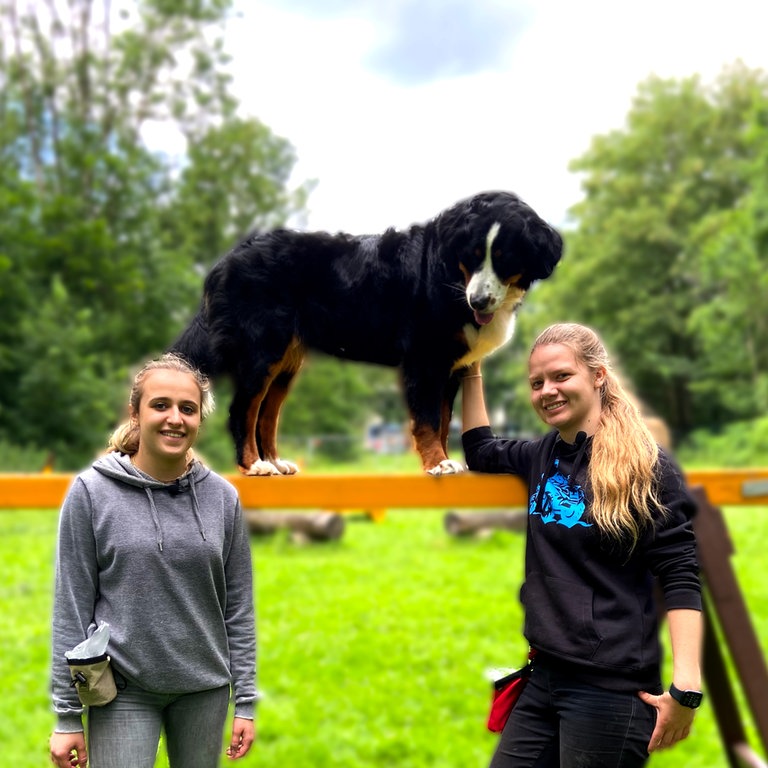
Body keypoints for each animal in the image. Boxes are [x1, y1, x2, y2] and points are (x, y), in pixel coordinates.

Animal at [171, 190, 560, 474]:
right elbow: (428, 419)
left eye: (505, 257)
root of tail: (229, 258)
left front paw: (445, 460)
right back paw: (255, 466)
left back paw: (276, 462)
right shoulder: (425, 359)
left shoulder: (449, 367)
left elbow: (443, 418)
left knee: (267, 413)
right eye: (474, 254)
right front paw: (437, 463)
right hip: (263, 350)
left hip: (285, 362)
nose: (478, 300)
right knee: (243, 409)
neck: (451, 275)